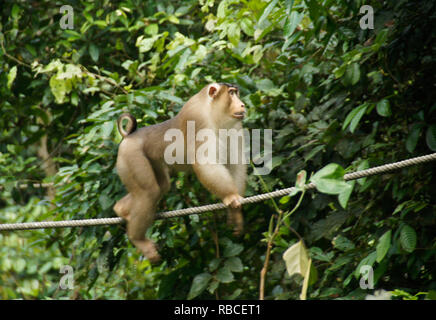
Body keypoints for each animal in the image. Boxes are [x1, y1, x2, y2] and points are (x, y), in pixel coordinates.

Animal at [114, 82, 247, 262]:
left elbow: (235, 162)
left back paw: (121, 209)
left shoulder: (236, 125)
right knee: (148, 191)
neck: (213, 111)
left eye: (236, 93)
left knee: (161, 187)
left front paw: (235, 213)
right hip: (131, 156)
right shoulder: (197, 118)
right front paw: (231, 196)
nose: (242, 104)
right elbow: (204, 162)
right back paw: (138, 238)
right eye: (231, 93)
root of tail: (129, 136)